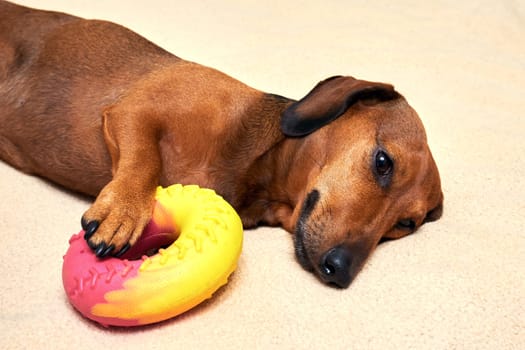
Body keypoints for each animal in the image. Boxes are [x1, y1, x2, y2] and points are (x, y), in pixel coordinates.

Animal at [0, 1, 442, 288]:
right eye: (383, 162)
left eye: (405, 224)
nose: (342, 270)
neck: (254, 163)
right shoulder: (133, 111)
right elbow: (144, 162)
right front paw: (124, 210)